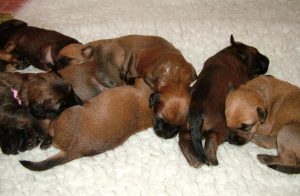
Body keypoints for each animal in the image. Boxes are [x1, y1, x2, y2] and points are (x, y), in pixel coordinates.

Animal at [179, 35, 270, 167]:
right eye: (257, 54)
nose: (268, 60)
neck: (232, 52)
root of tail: (197, 110)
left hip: (186, 127)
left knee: (184, 140)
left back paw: (195, 161)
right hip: (221, 129)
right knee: (210, 143)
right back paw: (213, 160)